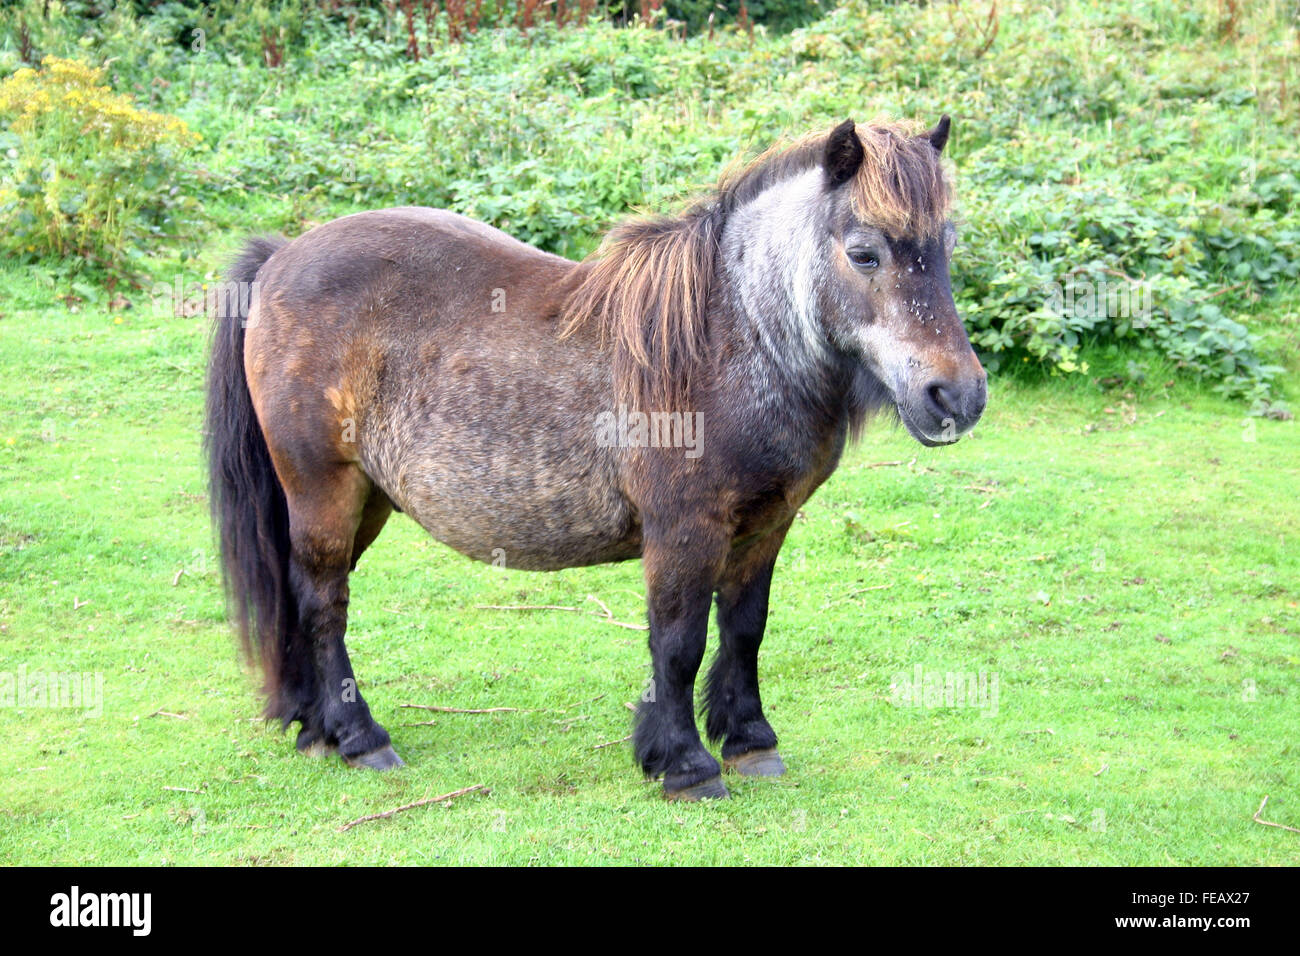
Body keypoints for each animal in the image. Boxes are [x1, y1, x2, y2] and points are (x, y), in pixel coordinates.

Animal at [204, 117, 987, 801]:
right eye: (864, 252)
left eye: (946, 248)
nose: (957, 395)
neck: (729, 339)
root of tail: (279, 259)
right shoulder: (684, 531)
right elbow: (677, 643)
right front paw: (684, 765)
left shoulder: (765, 527)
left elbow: (744, 630)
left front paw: (750, 741)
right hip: (323, 490)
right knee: (323, 601)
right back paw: (359, 737)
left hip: (367, 498)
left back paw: (316, 730)